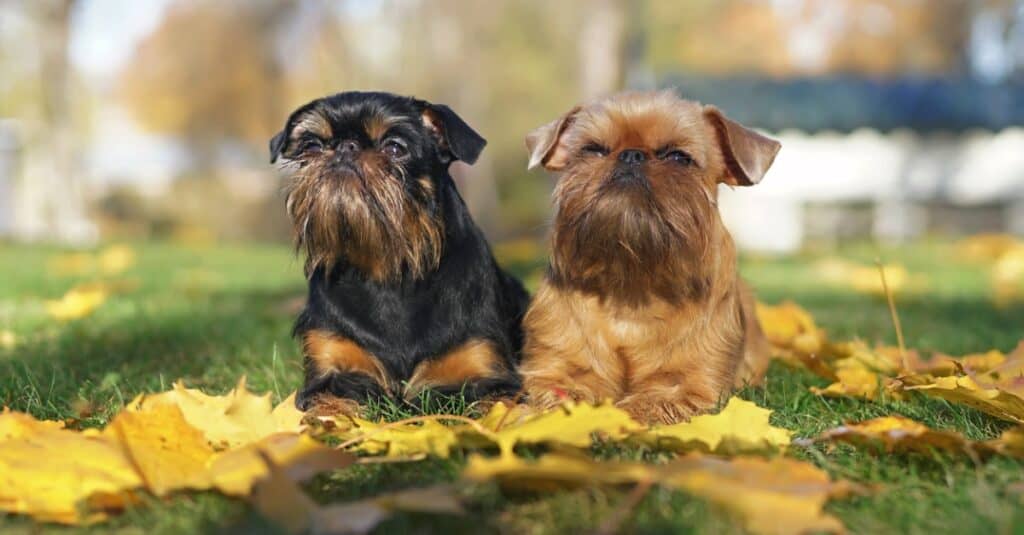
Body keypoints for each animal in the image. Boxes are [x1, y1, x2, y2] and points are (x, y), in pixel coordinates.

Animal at [270, 91, 528, 407]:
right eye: (312, 146)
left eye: (394, 147)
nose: (345, 147)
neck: (389, 271)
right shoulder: (331, 374)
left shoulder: (490, 376)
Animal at [516, 90, 778, 420]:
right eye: (593, 150)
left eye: (679, 157)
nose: (632, 155)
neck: (632, 285)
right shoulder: (556, 374)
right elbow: (558, 398)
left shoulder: (689, 388)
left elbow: (646, 405)